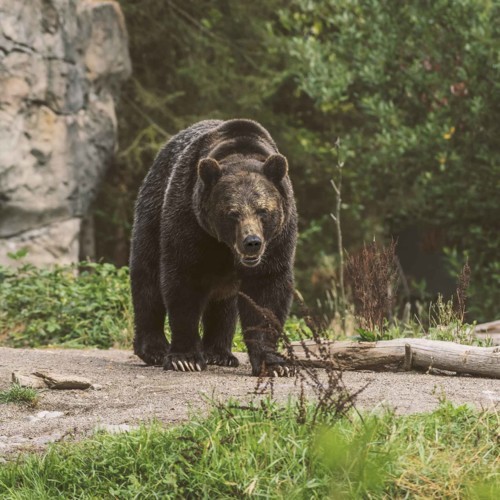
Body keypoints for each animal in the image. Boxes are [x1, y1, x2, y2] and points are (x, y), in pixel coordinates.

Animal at [131, 119, 298, 376]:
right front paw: (185, 359)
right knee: (147, 279)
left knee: (224, 303)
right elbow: (183, 282)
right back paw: (154, 349)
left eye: (262, 210)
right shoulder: (189, 221)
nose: (252, 242)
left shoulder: (278, 241)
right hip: (152, 212)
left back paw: (220, 354)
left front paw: (274, 364)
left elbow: (266, 293)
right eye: (232, 213)